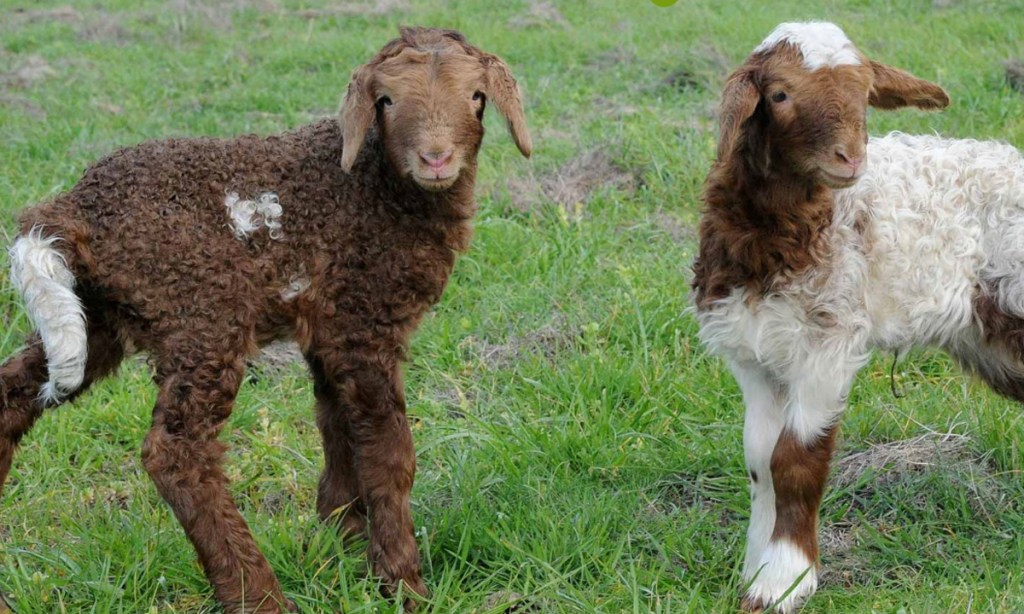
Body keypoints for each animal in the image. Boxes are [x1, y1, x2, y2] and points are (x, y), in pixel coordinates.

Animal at [0, 26, 531, 613]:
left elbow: (337, 427)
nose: (436, 158)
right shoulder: (365, 317)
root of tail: (72, 209)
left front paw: (340, 544)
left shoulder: (329, 327)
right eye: (386, 101)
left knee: (13, 393)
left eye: (477, 96)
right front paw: (403, 584)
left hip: (95, 316)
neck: (376, 188)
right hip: (202, 315)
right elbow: (389, 451)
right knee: (176, 452)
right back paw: (258, 595)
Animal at [688, 20, 1024, 612]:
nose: (851, 159)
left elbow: (794, 461)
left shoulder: (829, 342)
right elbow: (759, 461)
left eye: (865, 95)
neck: (783, 234)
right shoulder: (754, 352)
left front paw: (785, 579)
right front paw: (754, 568)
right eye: (779, 94)